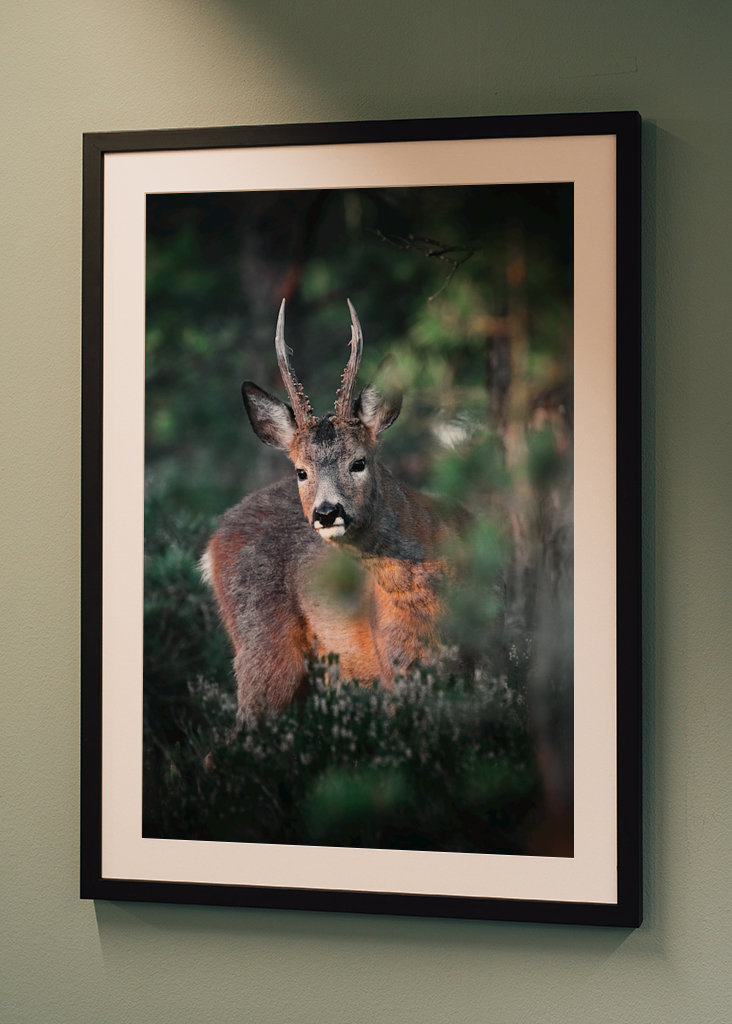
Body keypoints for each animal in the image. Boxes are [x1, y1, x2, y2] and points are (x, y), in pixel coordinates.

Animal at [201, 299, 468, 729]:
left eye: (359, 462)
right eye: (301, 471)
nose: (327, 512)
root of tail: (212, 543)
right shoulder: (393, 665)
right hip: (264, 647)